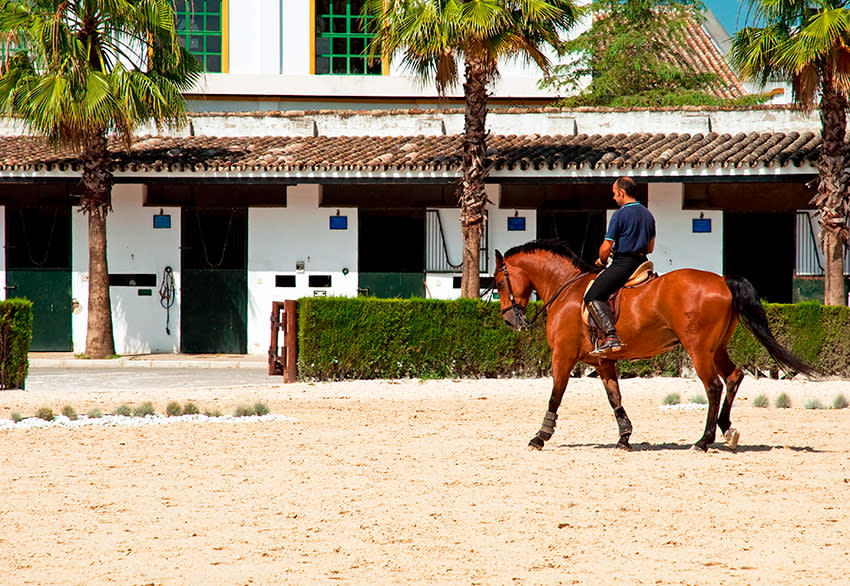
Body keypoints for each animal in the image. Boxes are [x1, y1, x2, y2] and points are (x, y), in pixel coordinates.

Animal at [494, 240, 812, 450]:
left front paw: (540, 437)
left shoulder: (563, 356)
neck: (566, 287)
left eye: (498, 282)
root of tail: (722, 280)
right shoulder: (603, 361)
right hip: (716, 348)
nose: (509, 321)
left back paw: (704, 441)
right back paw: (727, 429)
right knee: (734, 376)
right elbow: (615, 397)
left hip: (699, 350)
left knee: (713, 386)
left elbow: (555, 396)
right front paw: (624, 437)